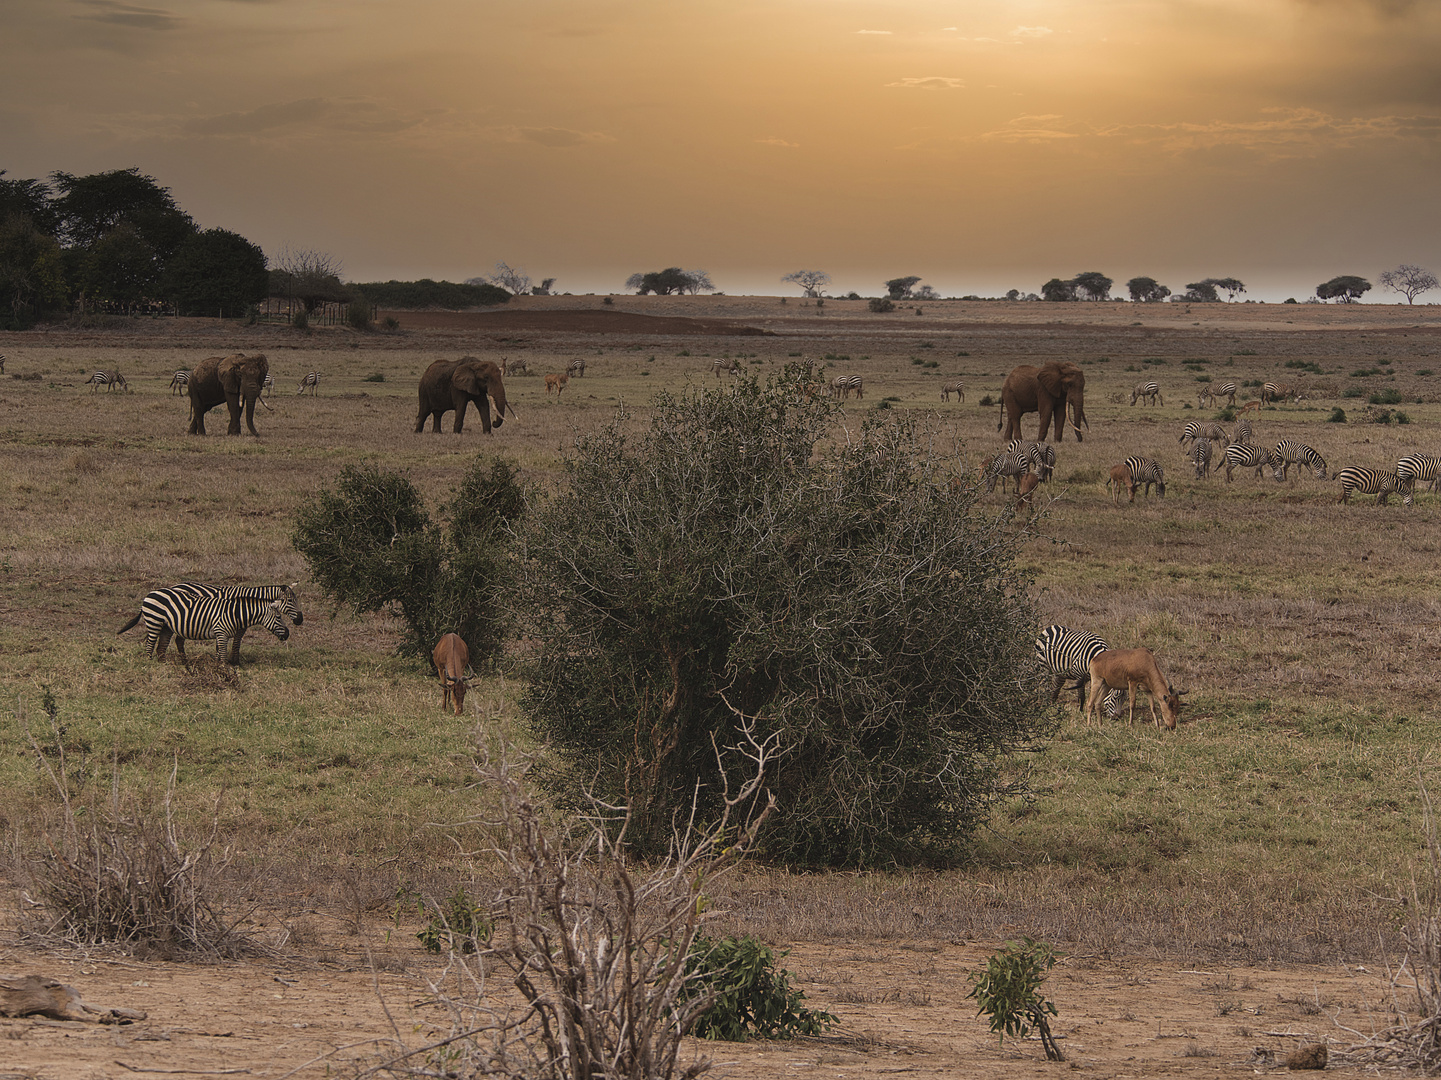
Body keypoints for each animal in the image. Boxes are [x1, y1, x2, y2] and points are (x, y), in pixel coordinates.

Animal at [116, 585, 291, 660]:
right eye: (279, 617)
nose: (288, 633)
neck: (234, 613)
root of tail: (149, 594)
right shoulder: (221, 632)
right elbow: (222, 655)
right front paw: (224, 672)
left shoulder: (222, 635)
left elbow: (219, 654)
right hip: (154, 621)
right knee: (150, 644)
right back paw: (150, 662)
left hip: (166, 626)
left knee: (161, 647)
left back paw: (164, 664)